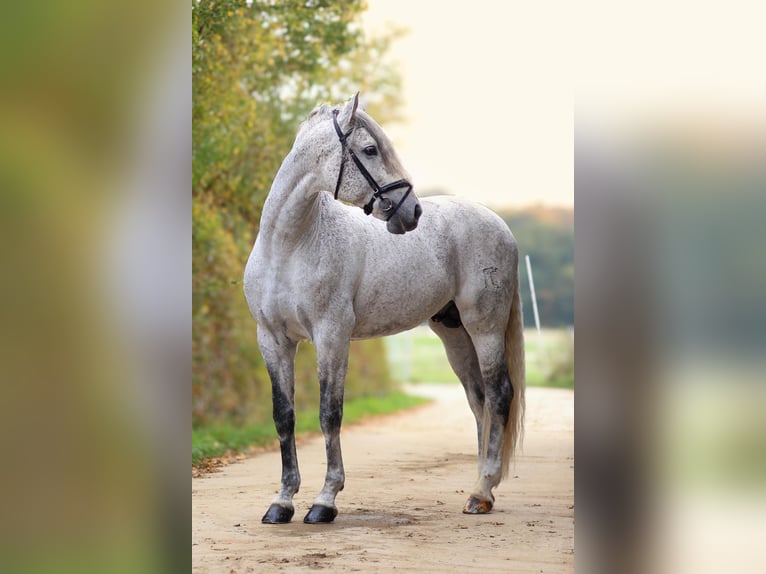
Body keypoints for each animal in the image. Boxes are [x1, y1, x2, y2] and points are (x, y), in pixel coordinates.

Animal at [246, 94, 528, 528]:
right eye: (369, 150)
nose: (412, 212)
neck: (290, 246)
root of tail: (498, 223)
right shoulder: (273, 339)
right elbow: (284, 415)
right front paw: (282, 502)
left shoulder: (331, 336)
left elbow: (329, 414)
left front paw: (324, 501)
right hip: (453, 333)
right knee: (478, 399)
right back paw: (482, 487)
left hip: (485, 327)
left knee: (499, 395)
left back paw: (482, 493)